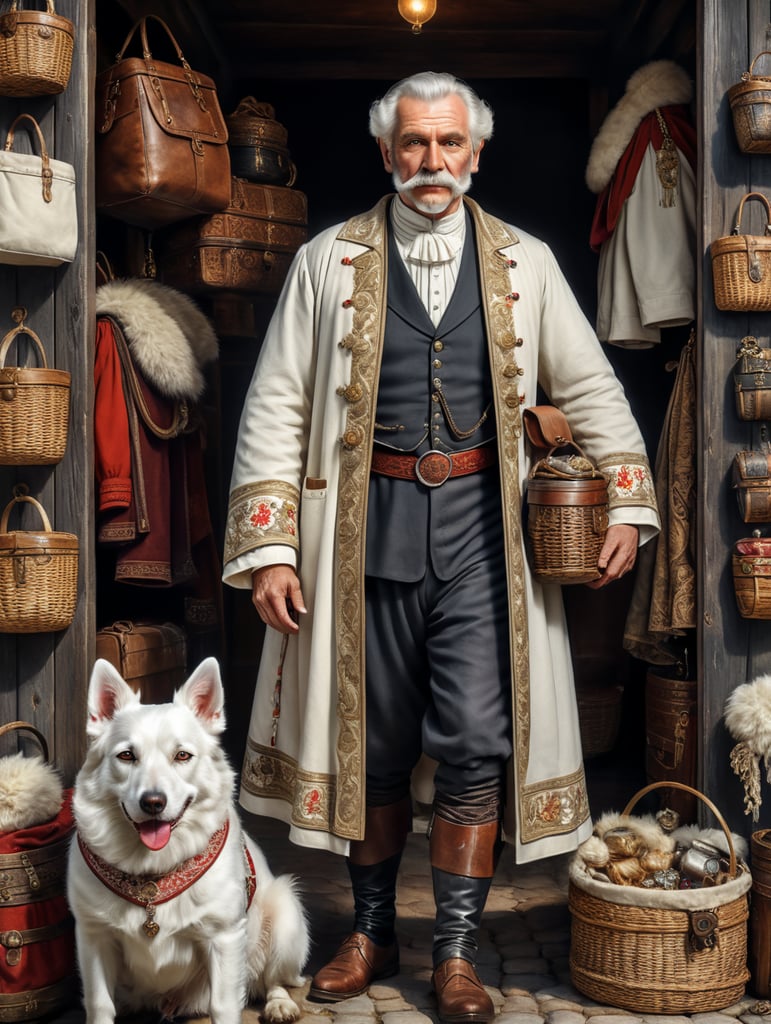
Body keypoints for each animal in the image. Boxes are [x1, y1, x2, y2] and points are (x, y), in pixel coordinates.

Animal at [65, 655, 307, 1024]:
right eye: (126, 756)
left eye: (182, 756)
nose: (153, 802)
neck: (152, 874)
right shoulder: (94, 936)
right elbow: (99, 1004)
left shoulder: (223, 937)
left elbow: (224, 1006)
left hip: (285, 915)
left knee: (273, 978)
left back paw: (279, 1004)